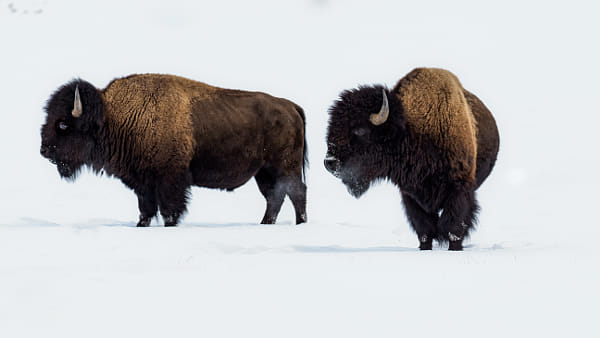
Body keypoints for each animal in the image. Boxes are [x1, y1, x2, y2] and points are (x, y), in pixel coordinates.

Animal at [39, 74, 308, 227]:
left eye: (63, 124)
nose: (44, 150)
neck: (114, 117)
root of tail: (291, 107)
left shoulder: (170, 179)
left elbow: (169, 210)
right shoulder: (142, 182)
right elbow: (146, 210)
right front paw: (141, 227)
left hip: (285, 168)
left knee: (296, 193)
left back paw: (299, 225)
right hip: (263, 172)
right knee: (275, 197)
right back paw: (264, 225)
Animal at [326, 67, 500, 250]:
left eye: (360, 131)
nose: (329, 162)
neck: (412, 130)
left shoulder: (459, 189)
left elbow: (453, 227)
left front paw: (455, 248)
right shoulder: (410, 196)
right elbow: (424, 230)